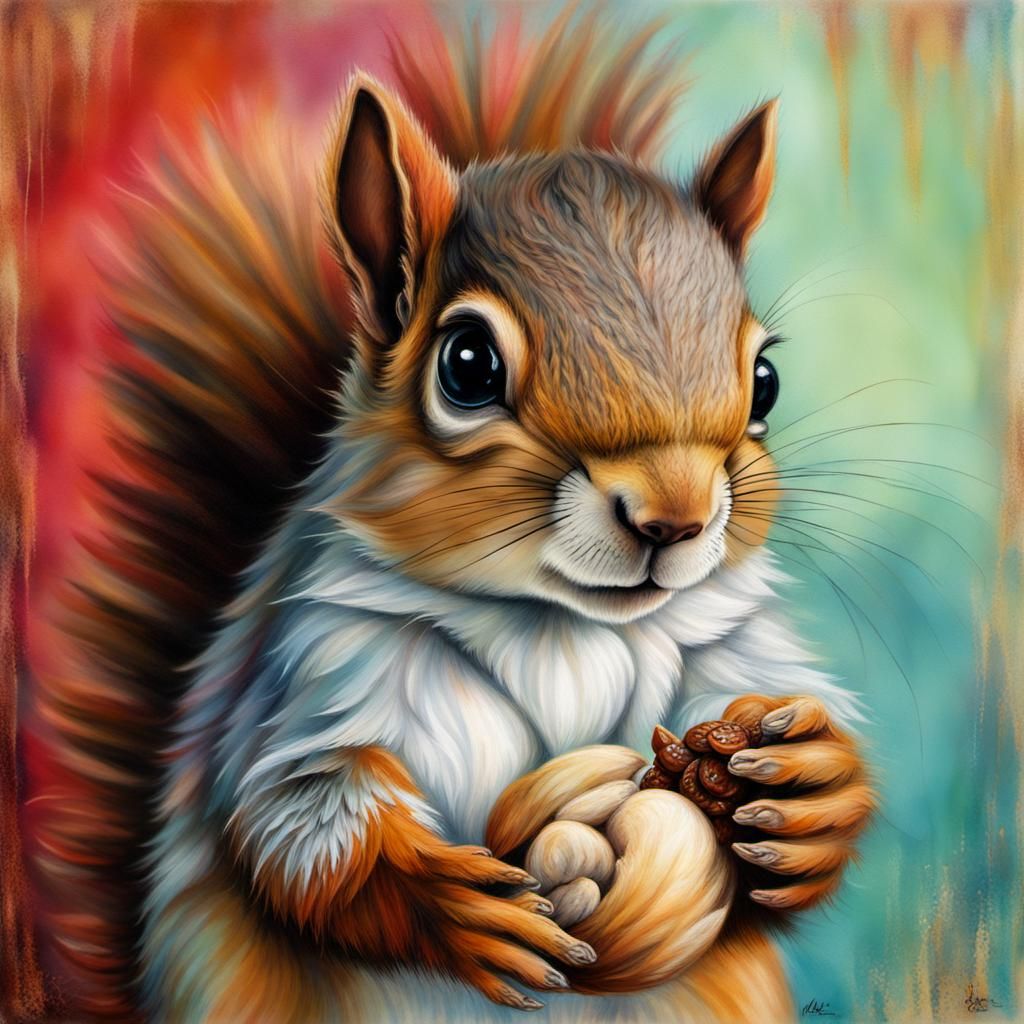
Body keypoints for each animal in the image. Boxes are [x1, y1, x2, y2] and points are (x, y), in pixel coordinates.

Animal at [34, 12, 874, 1024]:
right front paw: (454, 905)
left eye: (766, 380)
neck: (566, 628)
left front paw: (812, 789)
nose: (673, 518)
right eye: (467, 365)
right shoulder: (318, 675)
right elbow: (302, 824)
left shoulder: (730, 652)